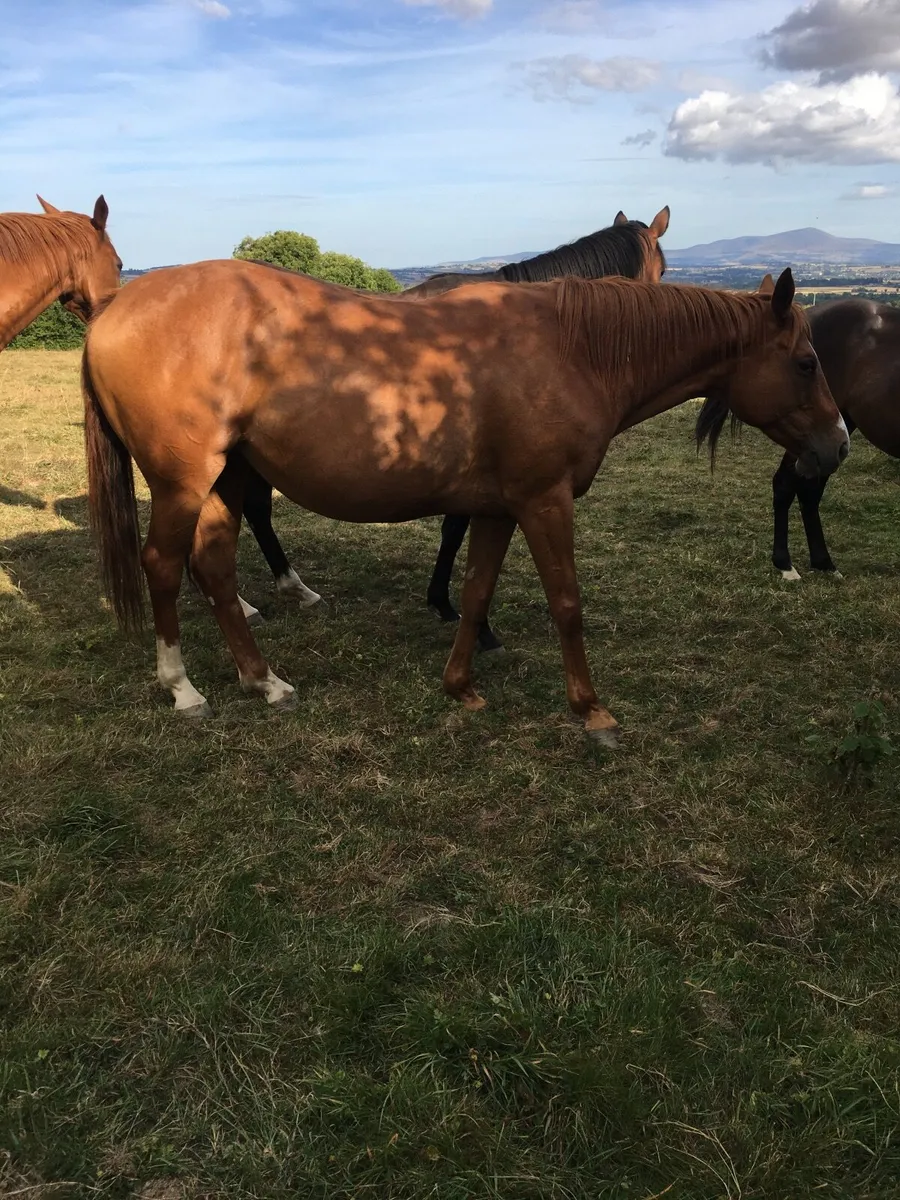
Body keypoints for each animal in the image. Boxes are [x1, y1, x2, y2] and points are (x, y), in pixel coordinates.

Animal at [79, 261, 848, 745]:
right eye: (807, 362)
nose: (837, 445)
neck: (572, 350)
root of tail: (117, 309)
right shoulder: (544, 502)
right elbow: (566, 603)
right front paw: (591, 711)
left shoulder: (499, 509)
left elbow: (476, 592)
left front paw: (461, 686)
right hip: (184, 482)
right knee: (164, 566)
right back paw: (183, 688)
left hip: (229, 479)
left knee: (214, 566)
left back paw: (263, 681)